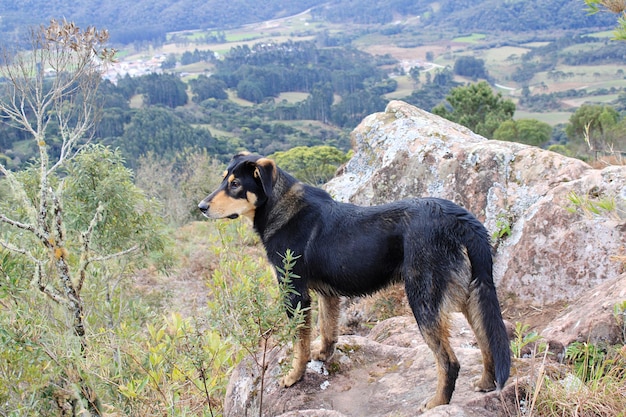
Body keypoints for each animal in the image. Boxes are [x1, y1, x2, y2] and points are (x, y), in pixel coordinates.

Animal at [197, 151, 510, 408]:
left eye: (235, 185)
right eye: (224, 180)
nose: (201, 206)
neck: (279, 206)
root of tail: (459, 217)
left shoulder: (295, 293)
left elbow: (300, 342)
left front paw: (295, 376)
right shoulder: (327, 294)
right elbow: (327, 330)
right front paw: (323, 356)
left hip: (424, 299)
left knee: (450, 362)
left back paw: (437, 403)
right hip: (470, 294)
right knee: (486, 341)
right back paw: (485, 383)